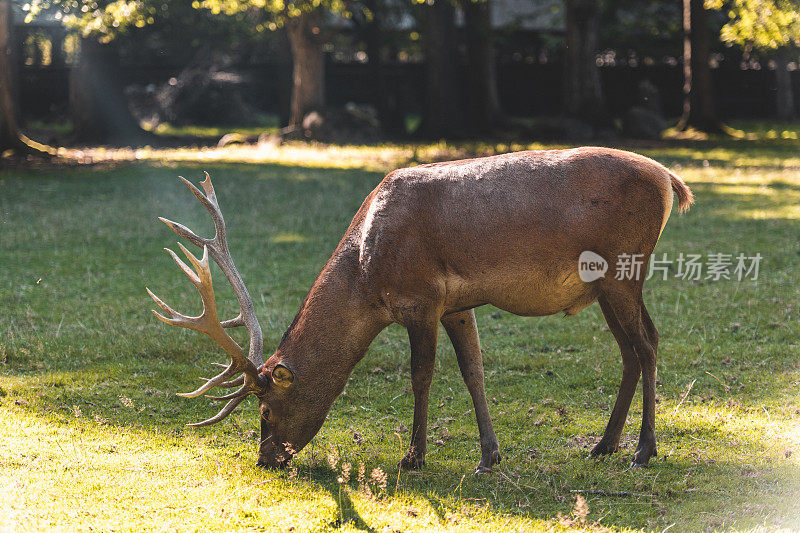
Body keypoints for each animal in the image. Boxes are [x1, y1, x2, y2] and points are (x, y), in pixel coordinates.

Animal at [148, 147, 692, 474]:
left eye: (264, 408)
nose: (265, 460)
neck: (367, 275)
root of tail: (670, 179)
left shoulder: (420, 299)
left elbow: (422, 374)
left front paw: (413, 456)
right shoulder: (457, 305)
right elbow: (473, 370)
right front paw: (489, 456)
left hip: (623, 270)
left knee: (647, 342)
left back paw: (644, 449)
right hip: (604, 286)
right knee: (629, 350)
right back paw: (604, 445)